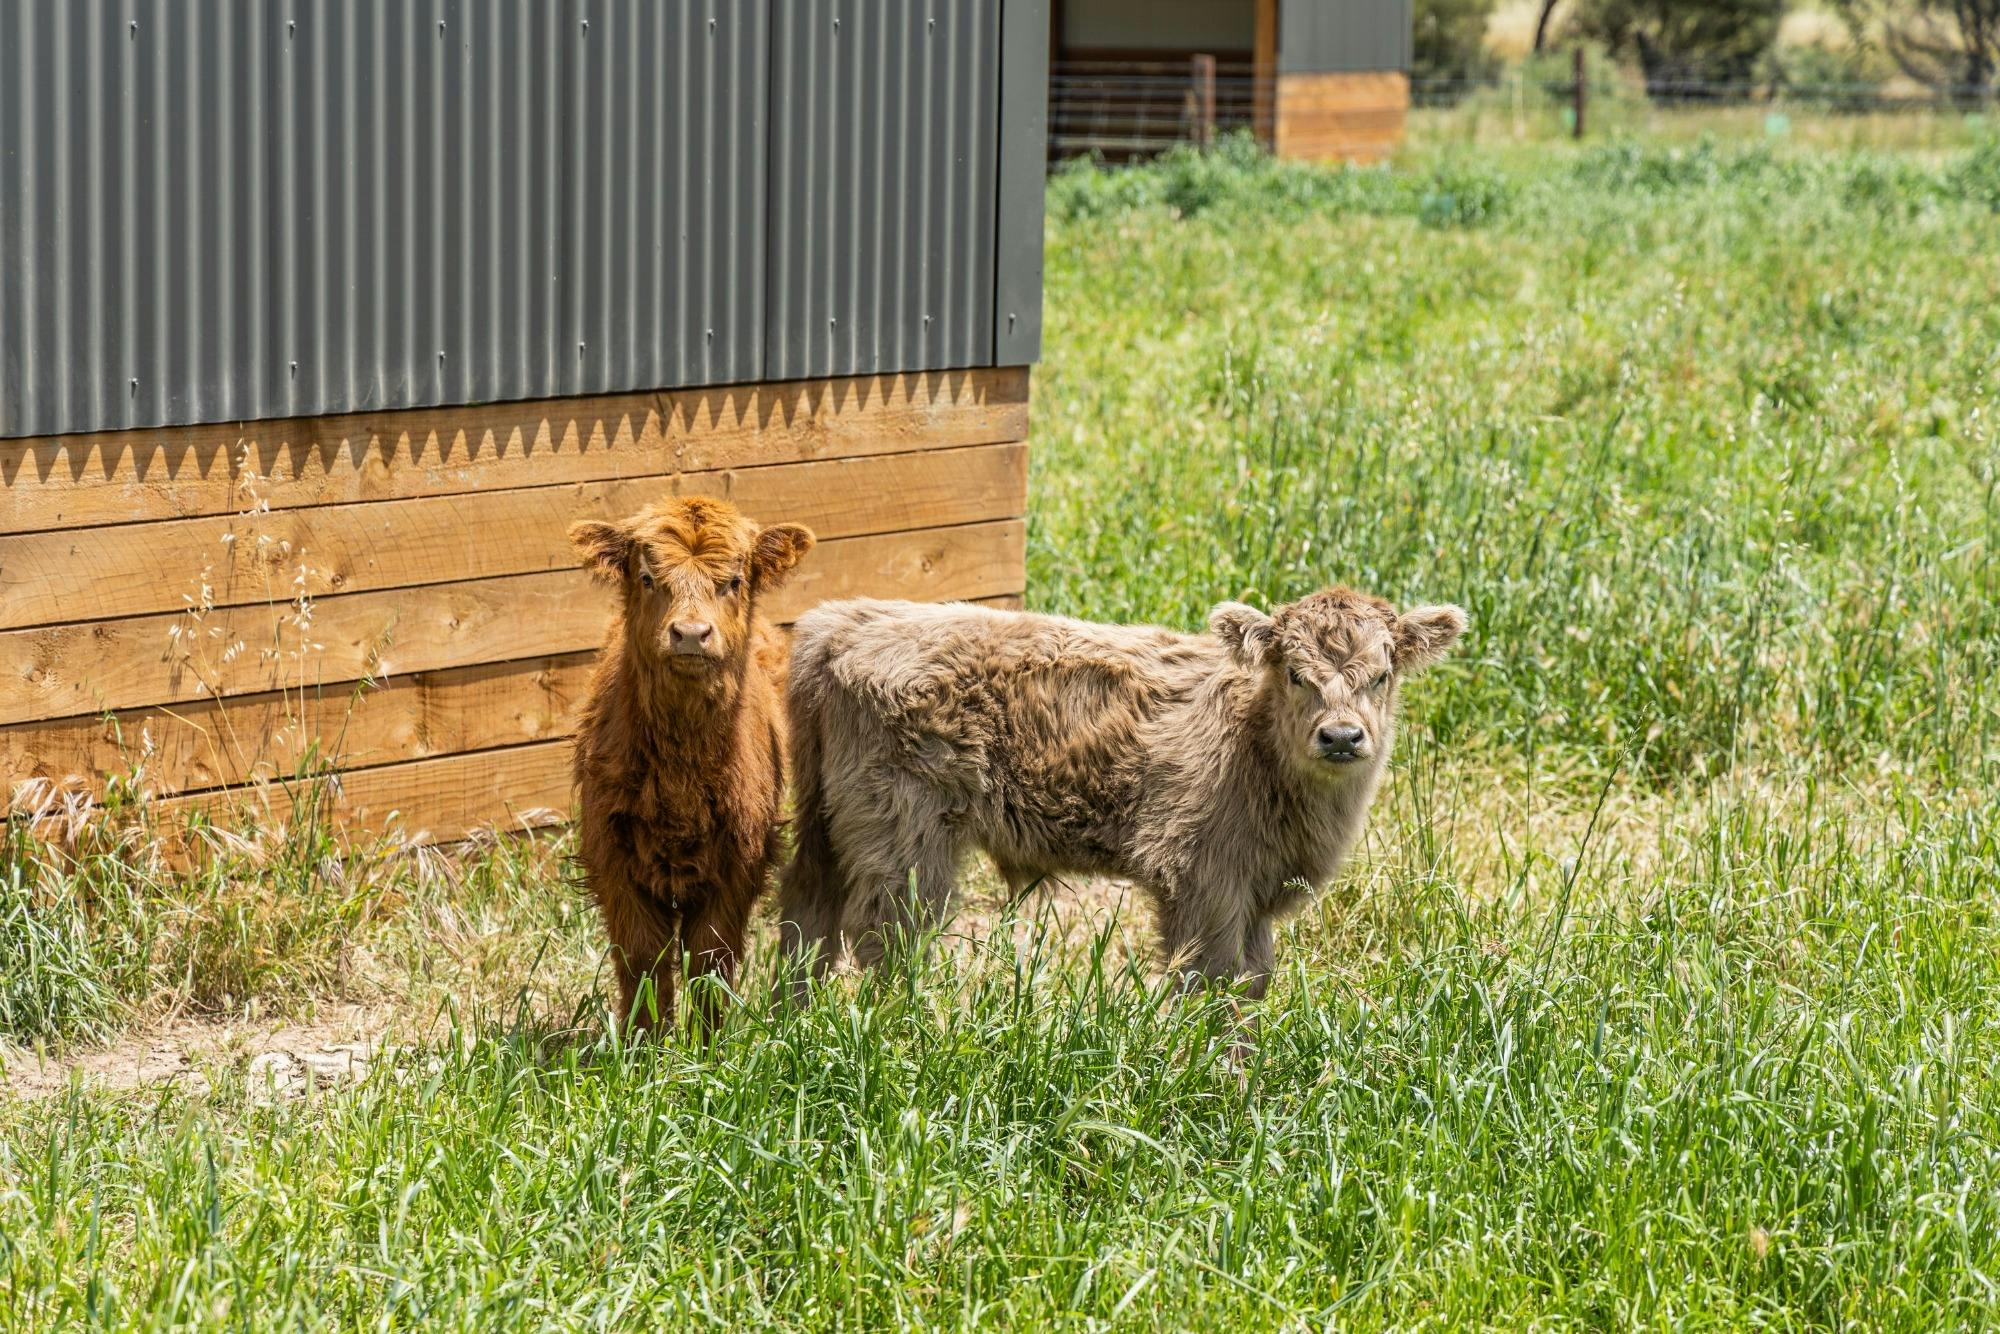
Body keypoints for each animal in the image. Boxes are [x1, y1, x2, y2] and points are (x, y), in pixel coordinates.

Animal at [568, 496, 814, 1031]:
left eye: (735, 581)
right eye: (646, 577)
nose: (691, 634)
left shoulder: (738, 860)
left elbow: (709, 959)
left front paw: (707, 1042)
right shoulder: (614, 858)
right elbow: (643, 959)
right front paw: (645, 1042)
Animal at [775, 587, 1466, 1001]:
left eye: (1382, 675)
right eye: (1296, 674)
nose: (1342, 736)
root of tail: (843, 620)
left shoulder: (1254, 896)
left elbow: (1251, 983)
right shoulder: (1202, 882)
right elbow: (1210, 983)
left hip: (830, 827)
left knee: (808, 912)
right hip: (905, 843)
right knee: (885, 940)